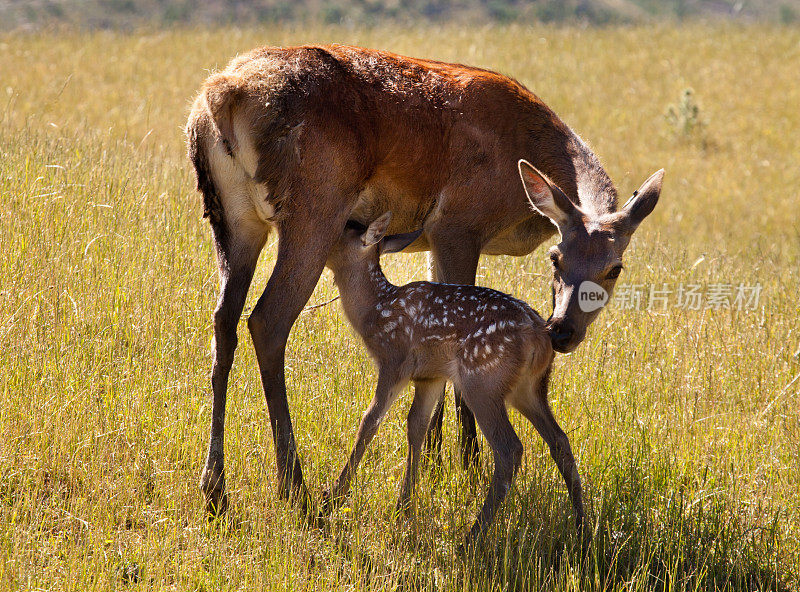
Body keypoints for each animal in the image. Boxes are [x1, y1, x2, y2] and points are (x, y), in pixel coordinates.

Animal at [320, 212, 588, 544]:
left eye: (341, 231)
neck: (375, 310)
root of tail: (539, 338)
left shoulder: (394, 360)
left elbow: (369, 420)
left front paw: (331, 498)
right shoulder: (430, 376)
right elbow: (416, 426)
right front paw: (403, 507)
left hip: (482, 382)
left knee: (510, 449)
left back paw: (473, 535)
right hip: (530, 388)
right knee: (560, 440)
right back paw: (582, 527)